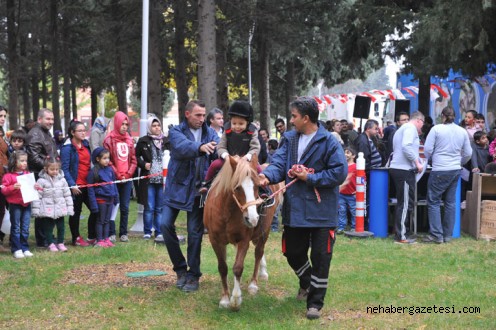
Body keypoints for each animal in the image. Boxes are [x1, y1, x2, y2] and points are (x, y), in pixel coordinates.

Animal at [203, 154, 282, 310]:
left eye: (257, 186)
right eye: (237, 187)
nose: (252, 218)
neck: (227, 211)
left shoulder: (243, 240)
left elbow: (238, 267)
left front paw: (235, 299)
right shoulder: (215, 240)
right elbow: (223, 267)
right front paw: (225, 299)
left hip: (265, 230)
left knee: (259, 252)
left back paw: (254, 283)